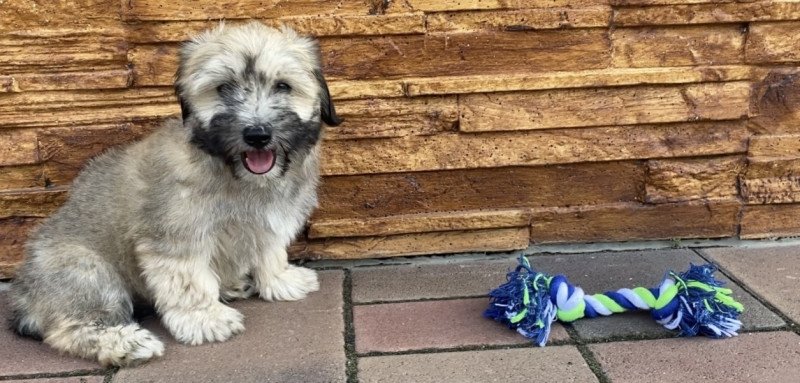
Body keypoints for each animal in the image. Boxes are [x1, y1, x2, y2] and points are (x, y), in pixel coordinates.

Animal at [9, 21, 340, 368]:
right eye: (223, 88)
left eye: (283, 86)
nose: (257, 134)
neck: (236, 173)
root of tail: (23, 297)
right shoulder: (176, 236)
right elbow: (188, 280)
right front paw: (205, 319)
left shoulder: (269, 221)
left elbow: (269, 250)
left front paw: (281, 280)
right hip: (85, 271)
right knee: (69, 327)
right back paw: (127, 344)